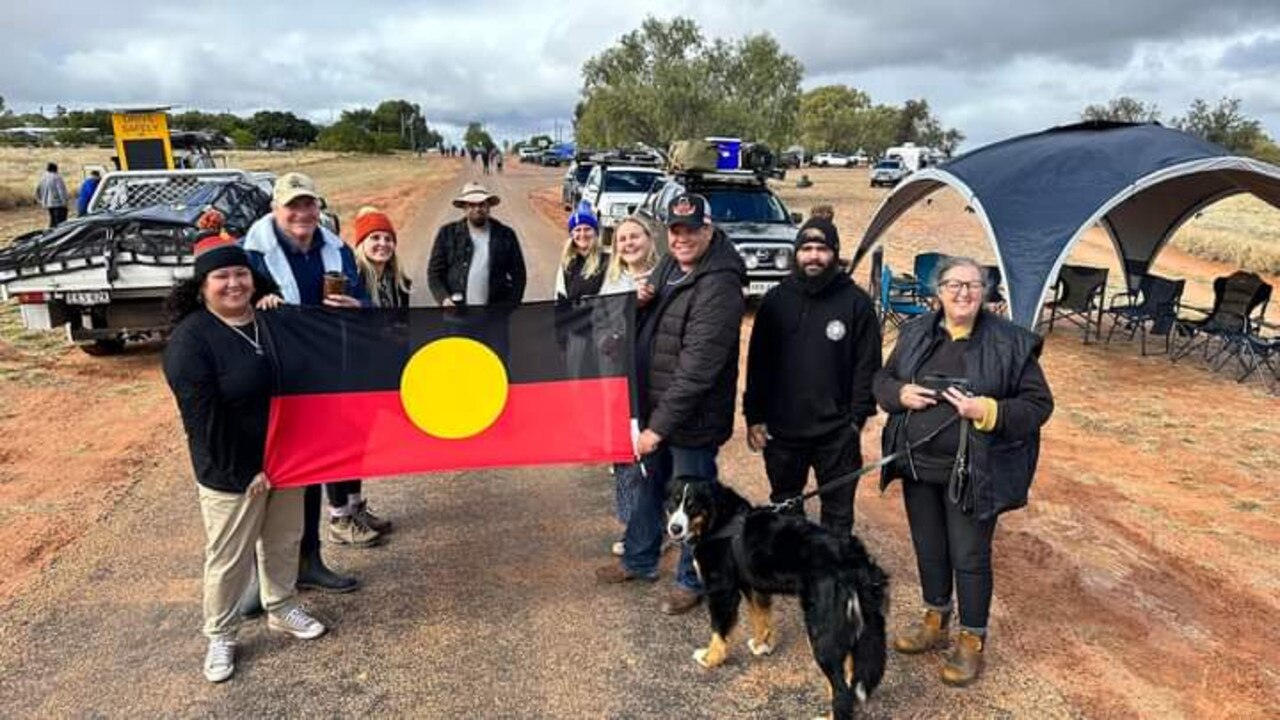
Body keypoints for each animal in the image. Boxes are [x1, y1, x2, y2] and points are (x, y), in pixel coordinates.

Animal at [665, 474, 885, 712]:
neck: (718, 520)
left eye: (692, 505)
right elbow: (760, 617)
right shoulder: (753, 586)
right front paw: (761, 645)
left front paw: (711, 658)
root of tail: (855, 560)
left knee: (842, 689)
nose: (674, 528)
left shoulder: (721, 590)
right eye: (673, 503)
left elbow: (718, 631)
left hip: (822, 629)